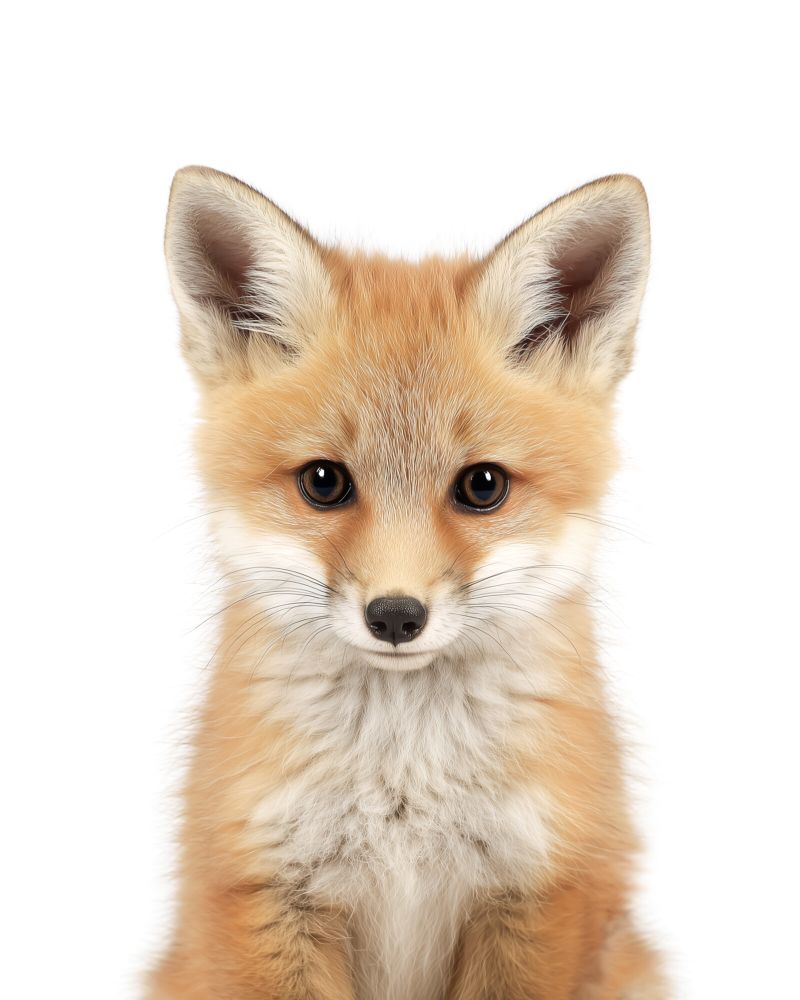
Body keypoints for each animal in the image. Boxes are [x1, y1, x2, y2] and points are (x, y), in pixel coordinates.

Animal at [148, 166, 666, 1000]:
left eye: (483, 486)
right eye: (323, 482)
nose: (395, 615)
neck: (404, 788)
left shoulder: (537, 895)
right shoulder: (267, 896)